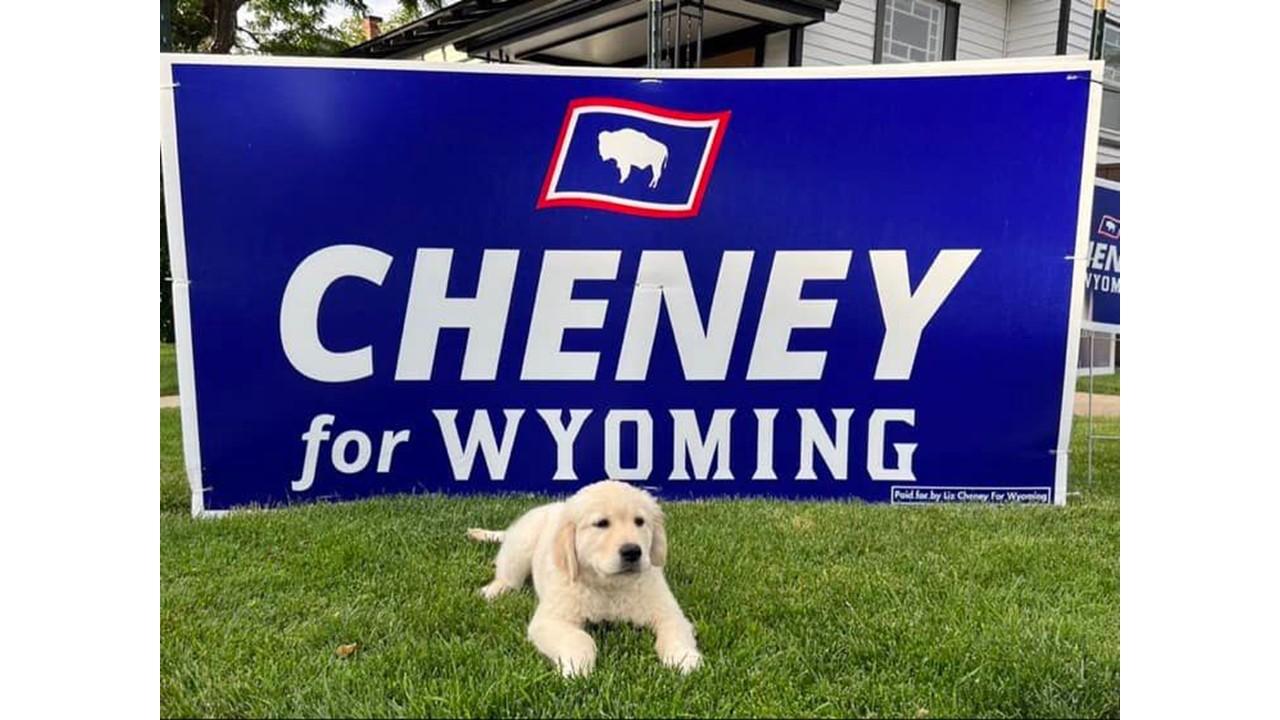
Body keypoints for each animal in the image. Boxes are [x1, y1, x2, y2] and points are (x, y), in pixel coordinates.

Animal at [465, 479, 701, 676]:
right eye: (601, 523)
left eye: (640, 521)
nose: (633, 552)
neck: (609, 586)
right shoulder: (549, 620)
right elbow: (580, 638)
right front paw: (576, 668)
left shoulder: (669, 613)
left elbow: (674, 633)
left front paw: (685, 659)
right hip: (521, 545)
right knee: (508, 575)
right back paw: (493, 591)